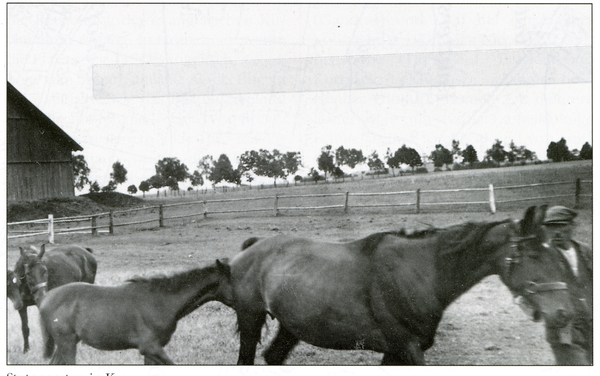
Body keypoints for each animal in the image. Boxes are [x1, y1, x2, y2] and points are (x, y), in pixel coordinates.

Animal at [227, 206, 576, 364]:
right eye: (534, 254)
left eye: (557, 251)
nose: (563, 313)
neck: (420, 271)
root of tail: (253, 246)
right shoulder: (407, 348)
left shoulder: (396, 351)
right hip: (251, 319)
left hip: (291, 326)